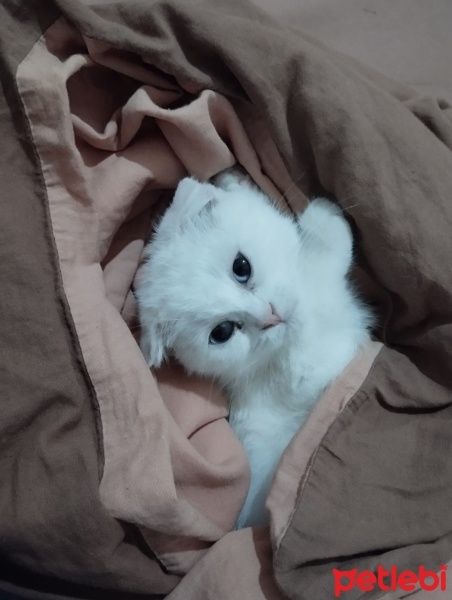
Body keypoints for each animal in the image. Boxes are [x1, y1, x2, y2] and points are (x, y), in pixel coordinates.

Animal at [135, 170, 370, 528]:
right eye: (222, 332)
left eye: (241, 267)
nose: (269, 317)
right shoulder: (312, 369)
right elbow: (327, 258)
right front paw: (323, 214)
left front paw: (232, 181)